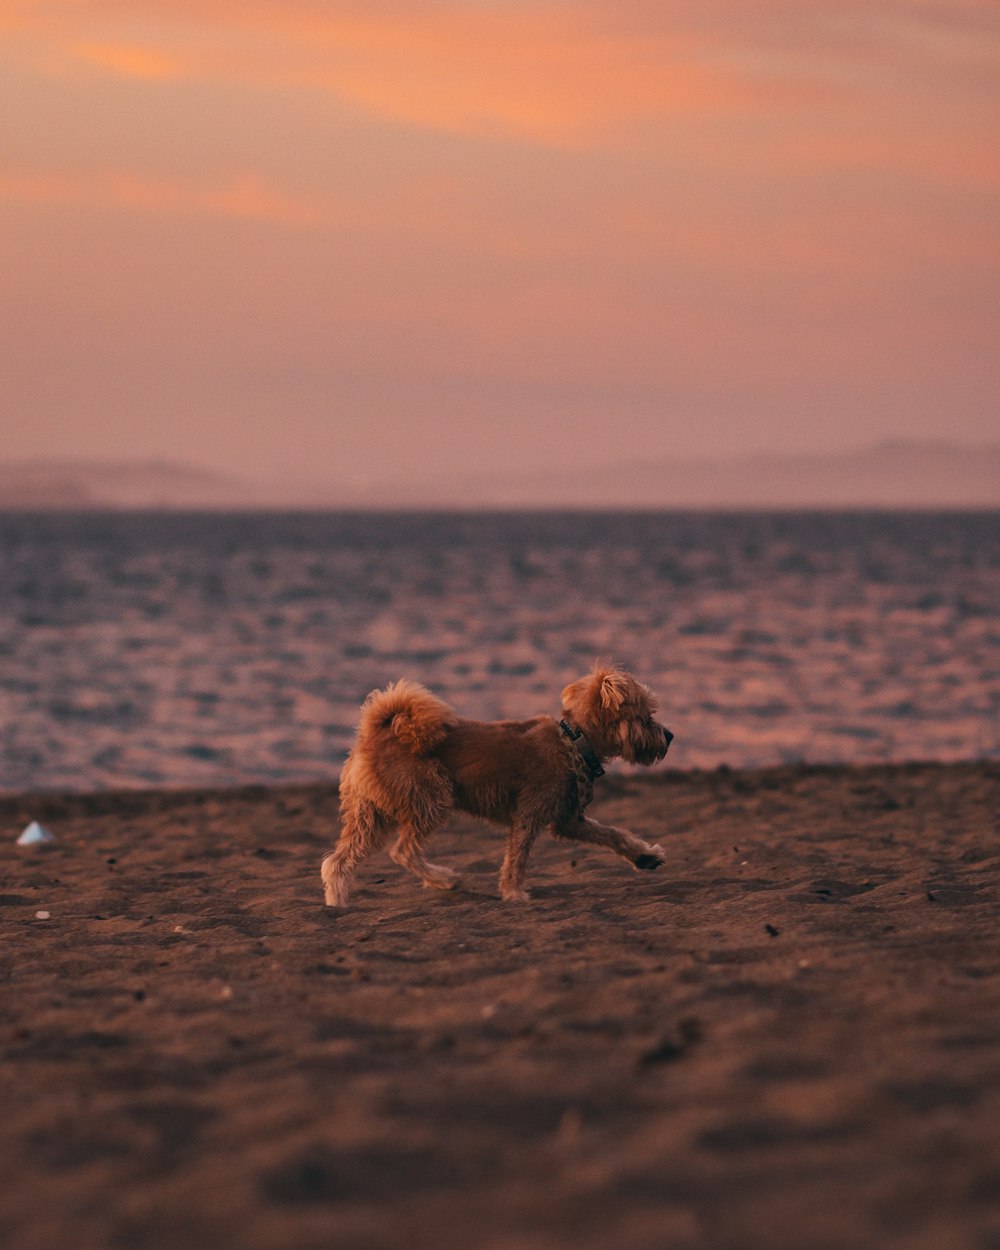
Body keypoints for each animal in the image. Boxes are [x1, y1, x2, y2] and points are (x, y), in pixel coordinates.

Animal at [325, 665, 675, 910]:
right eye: (646, 717)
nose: (670, 735)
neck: (575, 741)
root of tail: (375, 732)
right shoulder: (530, 815)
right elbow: (516, 858)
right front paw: (513, 892)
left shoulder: (568, 820)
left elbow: (613, 833)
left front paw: (644, 855)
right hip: (432, 798)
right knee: (403, 850)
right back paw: (444, 879)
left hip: (370, 815)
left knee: (337, 861)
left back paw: (337, 903)